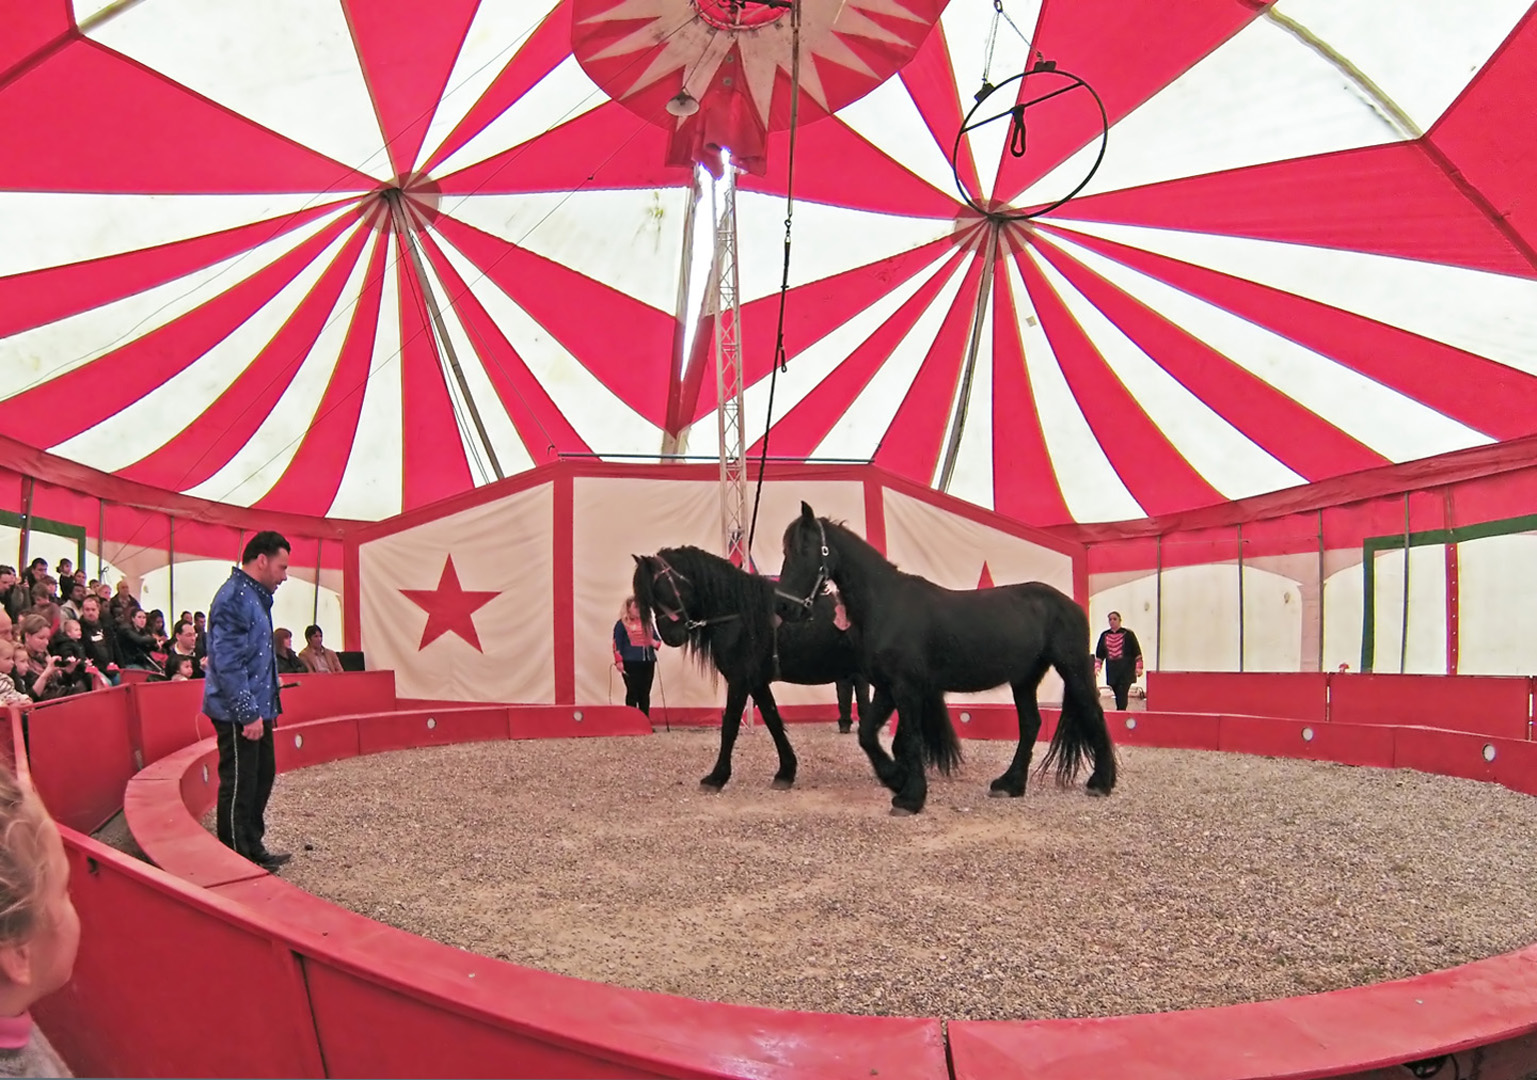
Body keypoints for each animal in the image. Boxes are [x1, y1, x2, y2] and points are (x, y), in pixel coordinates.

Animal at [630, 549, 873, 792]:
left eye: (660, 589)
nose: (670, 637)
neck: (739, 613)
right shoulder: (757, 683)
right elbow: (773, 721)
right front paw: (785, 772)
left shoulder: (740, 681)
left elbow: (730, 726)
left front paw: (716, 777)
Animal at [774, 503, 1112, 817]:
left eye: (805, 550)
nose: (784, 607)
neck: (886, 605)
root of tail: (1070, 605)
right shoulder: (887, 687)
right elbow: (868, 734)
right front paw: (897, 780)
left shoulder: (906, 688)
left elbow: (910, 740)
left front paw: (910, 798)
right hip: (1024, 678)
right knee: (1031, 724)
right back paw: (1010, 784)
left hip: (1073, 668)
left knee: (1094, 715)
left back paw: (1101, 782)